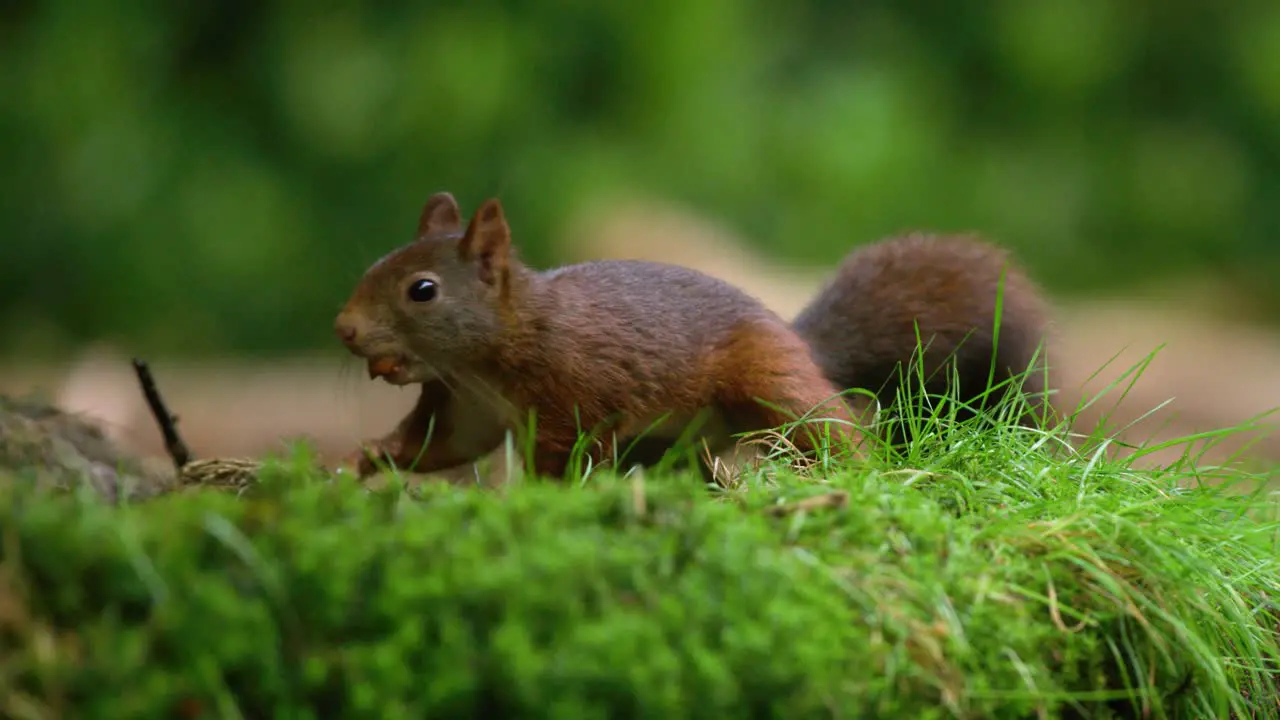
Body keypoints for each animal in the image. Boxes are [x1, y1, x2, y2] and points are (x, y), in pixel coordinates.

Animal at [335, 193, 865, 479]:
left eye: (422, 290)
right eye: (374, 266)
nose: (344, 328)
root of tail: (793, 333)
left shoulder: (576, 395)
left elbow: (569, 453)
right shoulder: (467, 408)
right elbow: (440, 446)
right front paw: (368, 457)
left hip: (767, 377)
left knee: (828, 427)